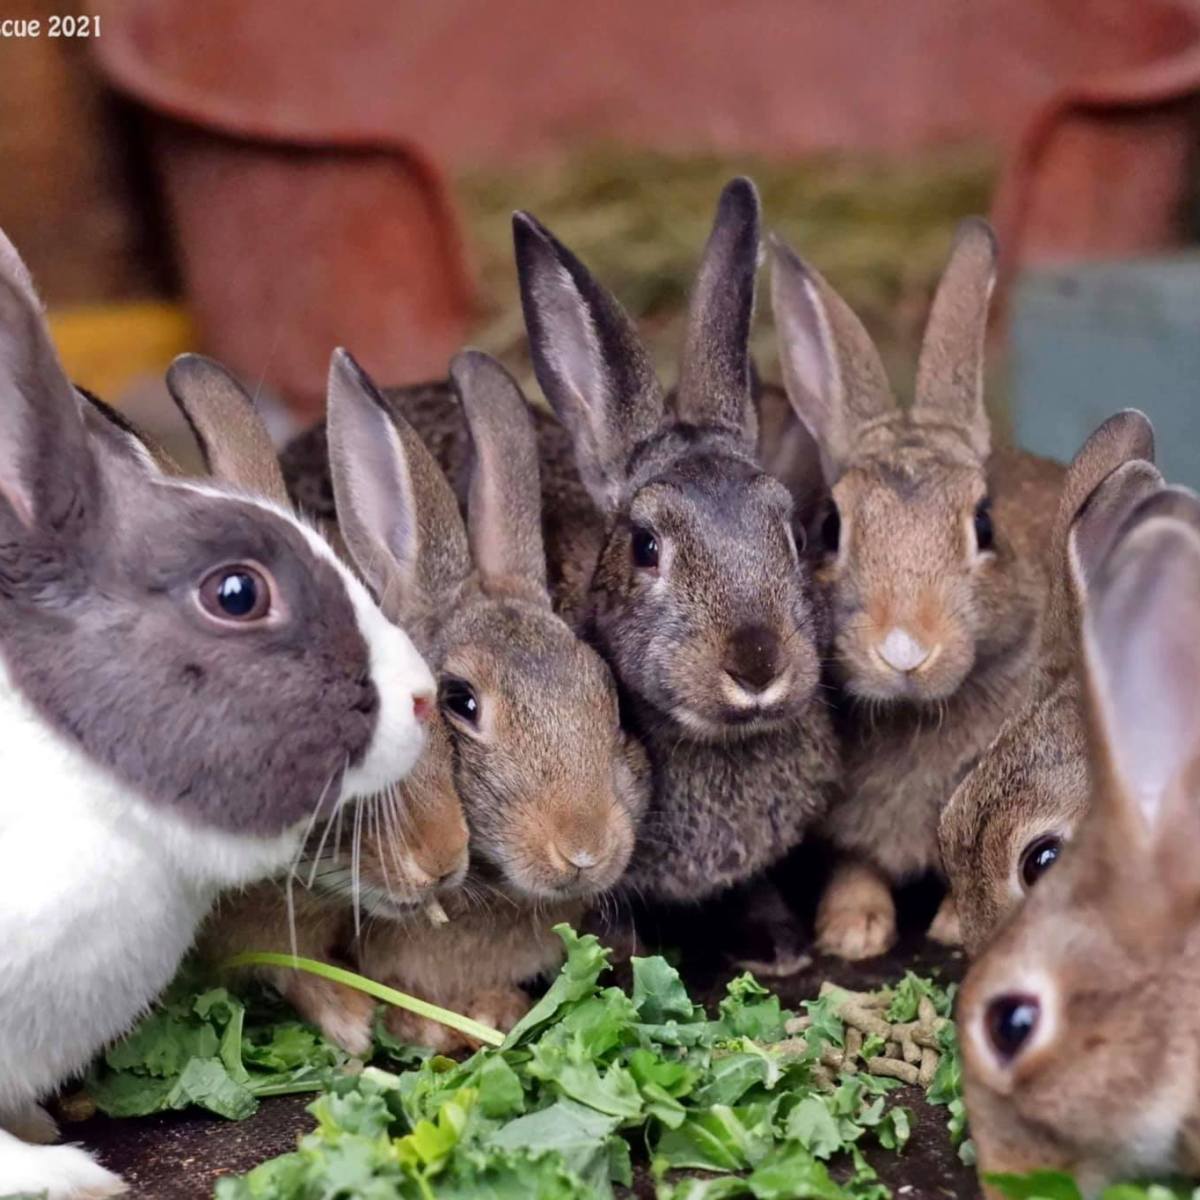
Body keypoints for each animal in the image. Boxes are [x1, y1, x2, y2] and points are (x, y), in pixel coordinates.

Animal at [770, 218, 1066, 960]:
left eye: (984, 524)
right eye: (829, 526)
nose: (904, 648)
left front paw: (952, 924)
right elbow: (856, 864)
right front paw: (851, 930)